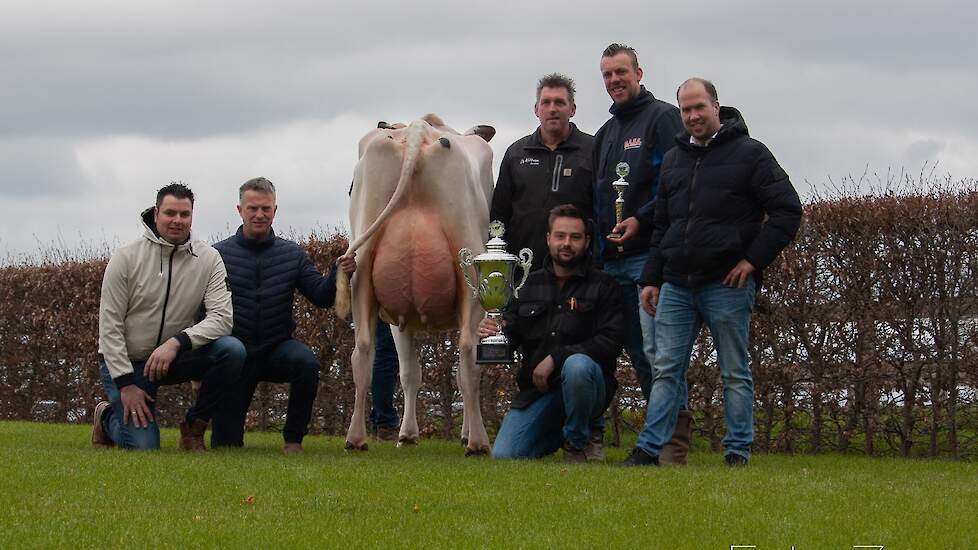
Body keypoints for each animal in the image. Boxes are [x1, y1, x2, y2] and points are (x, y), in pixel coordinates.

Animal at [336, 113, 500, 458]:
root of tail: (417, 130)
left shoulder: (398, 319)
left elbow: (410, 373)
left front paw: (407, 434)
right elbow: (451, 372)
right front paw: (460, 434)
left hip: (362, 272)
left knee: (363, 351)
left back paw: (355, 439)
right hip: (470, 275)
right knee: (468, 355)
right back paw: (478, 442)